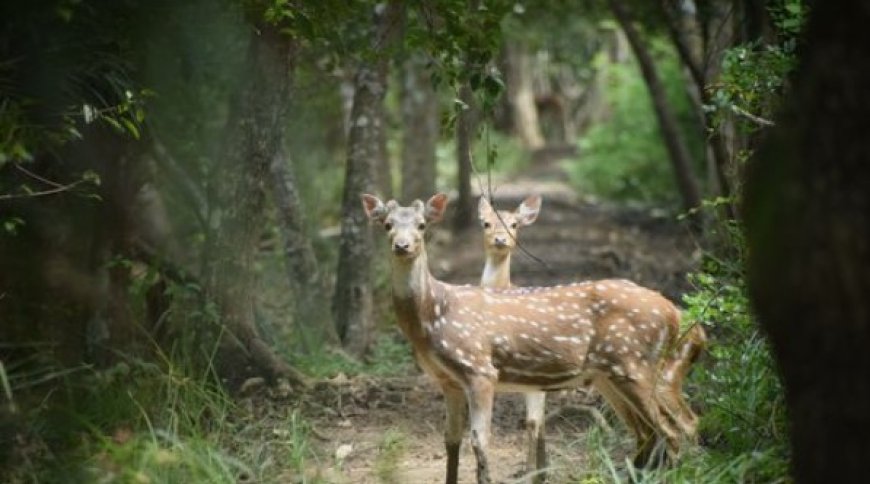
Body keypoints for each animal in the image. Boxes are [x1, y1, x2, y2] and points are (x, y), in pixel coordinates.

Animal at [362, 194, 700, 484]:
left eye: (422, 225)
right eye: (387, 224)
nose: (403, 245)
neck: (434, 315)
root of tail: (675, 314)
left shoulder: (480, 369)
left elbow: (480, 442)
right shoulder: (448, 381)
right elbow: (451, 441)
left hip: (638, 366)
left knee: (676, 429)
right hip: (610, 376)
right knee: (653, 433)